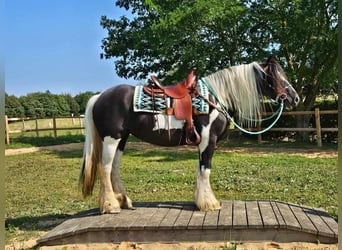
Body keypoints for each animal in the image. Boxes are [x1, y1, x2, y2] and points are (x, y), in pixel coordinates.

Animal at [79, 56, 300, 213]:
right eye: (276, 76)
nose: (295, 98)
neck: (216, 98)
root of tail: (100, 96)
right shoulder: (208, 140)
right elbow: (205, 170)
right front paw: (209, 204)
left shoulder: (202, 142)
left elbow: (199, 170)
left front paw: (200, 201)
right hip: (111, 139)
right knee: (105, 168)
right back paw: (111, 206)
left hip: (122, 139)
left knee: (114, 168)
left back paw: (124, 201)